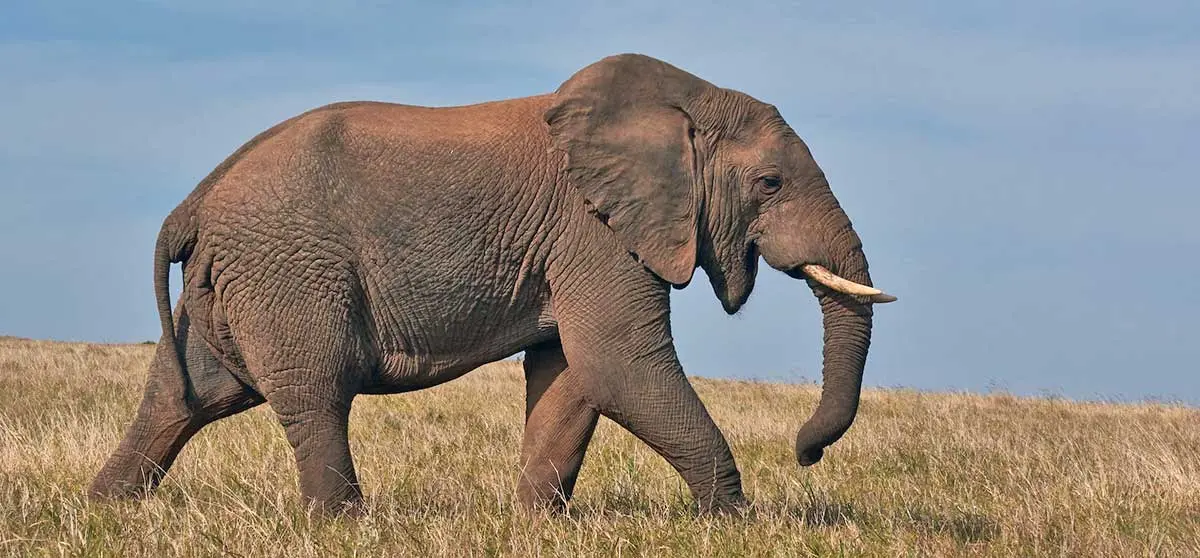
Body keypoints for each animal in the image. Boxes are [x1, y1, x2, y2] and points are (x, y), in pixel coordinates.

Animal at [91, 53, 892, 513]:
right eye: (769, 182)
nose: (805, 452)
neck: (682, 101)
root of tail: (195, 202)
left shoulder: (578, 243)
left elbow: (572, 374)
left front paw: (536, 525)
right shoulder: (593, 232)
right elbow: (620, 365)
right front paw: (728, 522)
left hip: (233, 283)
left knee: (186, 395)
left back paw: (108, 510)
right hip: (287, 270)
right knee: (314, 393)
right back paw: (342, 526)